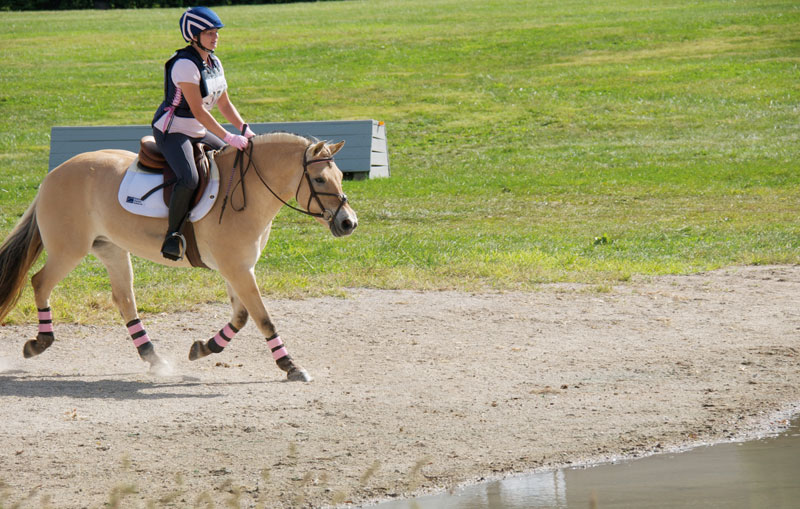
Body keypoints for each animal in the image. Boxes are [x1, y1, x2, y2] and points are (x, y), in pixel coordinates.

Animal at [0, 132, 356, 380]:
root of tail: (54, 174)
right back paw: (39, 342)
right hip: (68, 250)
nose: (348, 223)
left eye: (340, 177)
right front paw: (290, 365)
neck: (247, 192)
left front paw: (204, 348)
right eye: (320, 179)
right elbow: (263, 317)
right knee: (40, 282)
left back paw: (154, 359)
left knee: (124, 299)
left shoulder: (237, 269)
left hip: (111, 249)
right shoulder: (238, 268)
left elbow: (242, 317)